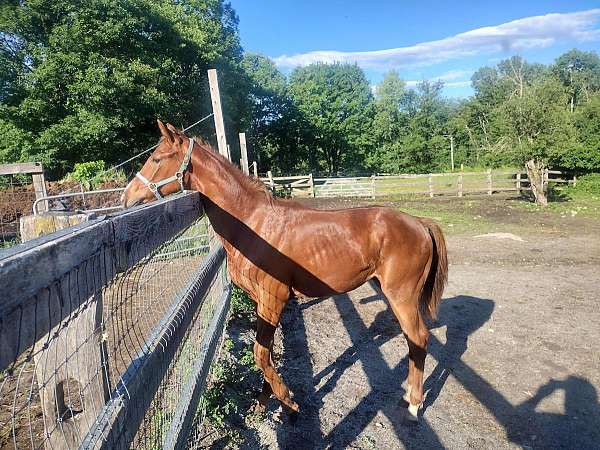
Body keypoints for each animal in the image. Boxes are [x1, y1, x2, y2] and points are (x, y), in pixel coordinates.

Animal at [122, 121, 448, 420]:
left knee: (419, 338)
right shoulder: (262, 302)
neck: (252, 223)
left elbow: (260, 353)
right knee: (412, 340)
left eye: (157, 159)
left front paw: (287, 399)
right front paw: (263, 402)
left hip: (401, 295)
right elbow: (264, 352)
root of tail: (420, 223)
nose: (126, 197)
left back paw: (414, 403)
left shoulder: (274, 297)